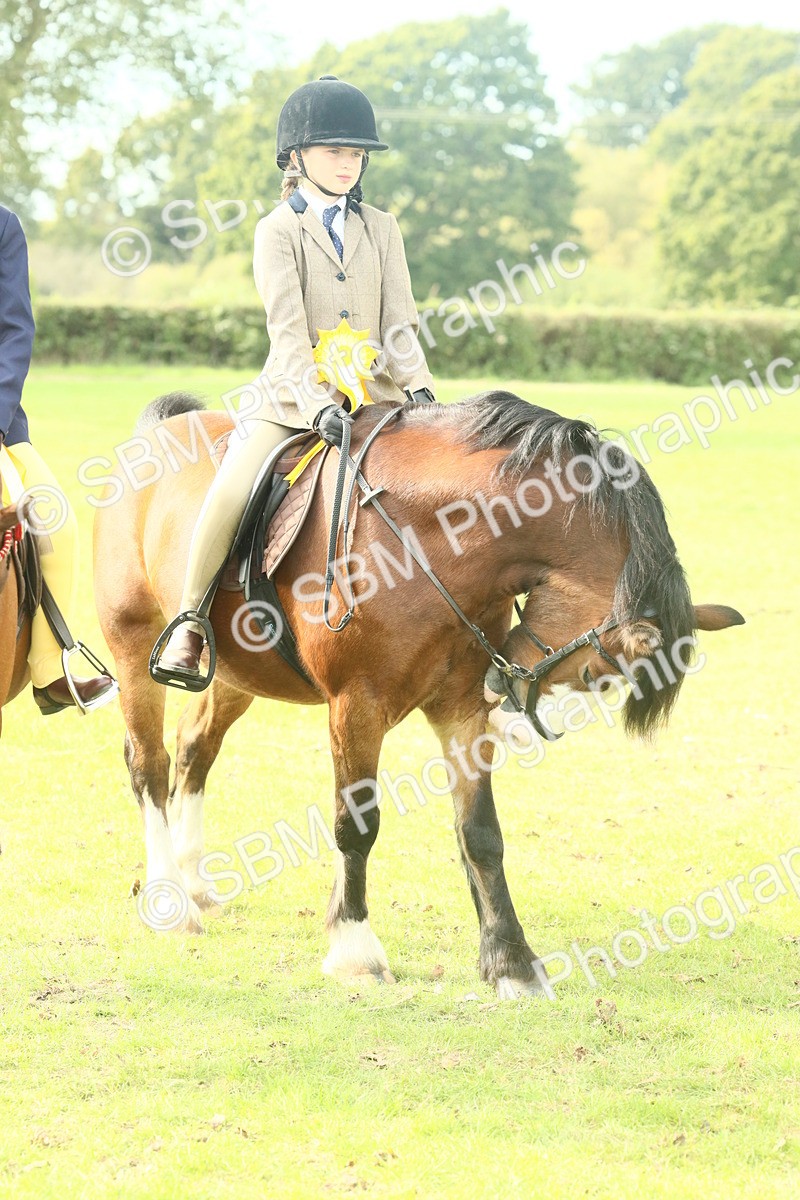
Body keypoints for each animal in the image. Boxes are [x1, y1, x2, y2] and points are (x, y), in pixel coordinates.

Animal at [93, 390, 743, 999]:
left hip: (236, 675)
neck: (432, 536)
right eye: (595, 676)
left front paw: (510, 962)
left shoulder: (461, 709)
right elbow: (357, 824)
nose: (510, 703)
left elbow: (480, 832)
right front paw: (355, 951)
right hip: (132, 644)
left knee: (194, 748)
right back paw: (169, 902)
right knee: (148, 763)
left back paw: (195, 884)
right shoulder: (356, 705)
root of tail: (156, 432)